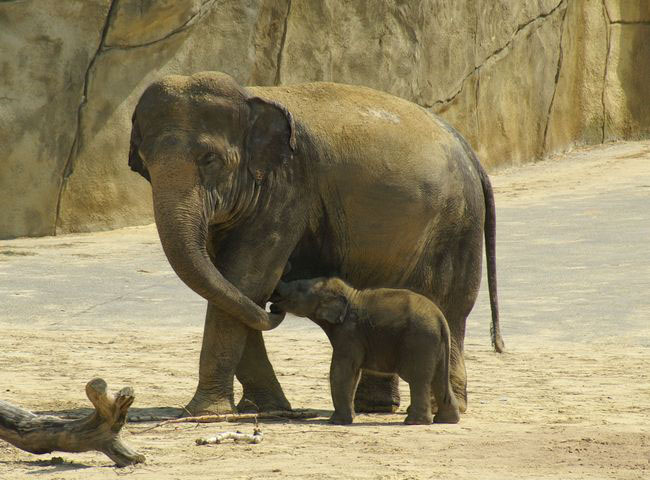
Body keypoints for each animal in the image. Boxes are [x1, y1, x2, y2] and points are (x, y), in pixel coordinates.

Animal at [270, 278, 458, 424]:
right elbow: (353, 374)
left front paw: (337, 422)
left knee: (418, 379)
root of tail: (441, 319)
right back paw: (447, 420)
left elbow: (341, 370)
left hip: (418, 341)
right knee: (439, 379)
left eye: (298, 288)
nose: (272, 306)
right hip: (435, 345)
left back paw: (414, 422)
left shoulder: (349, 333)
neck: (349, 294)